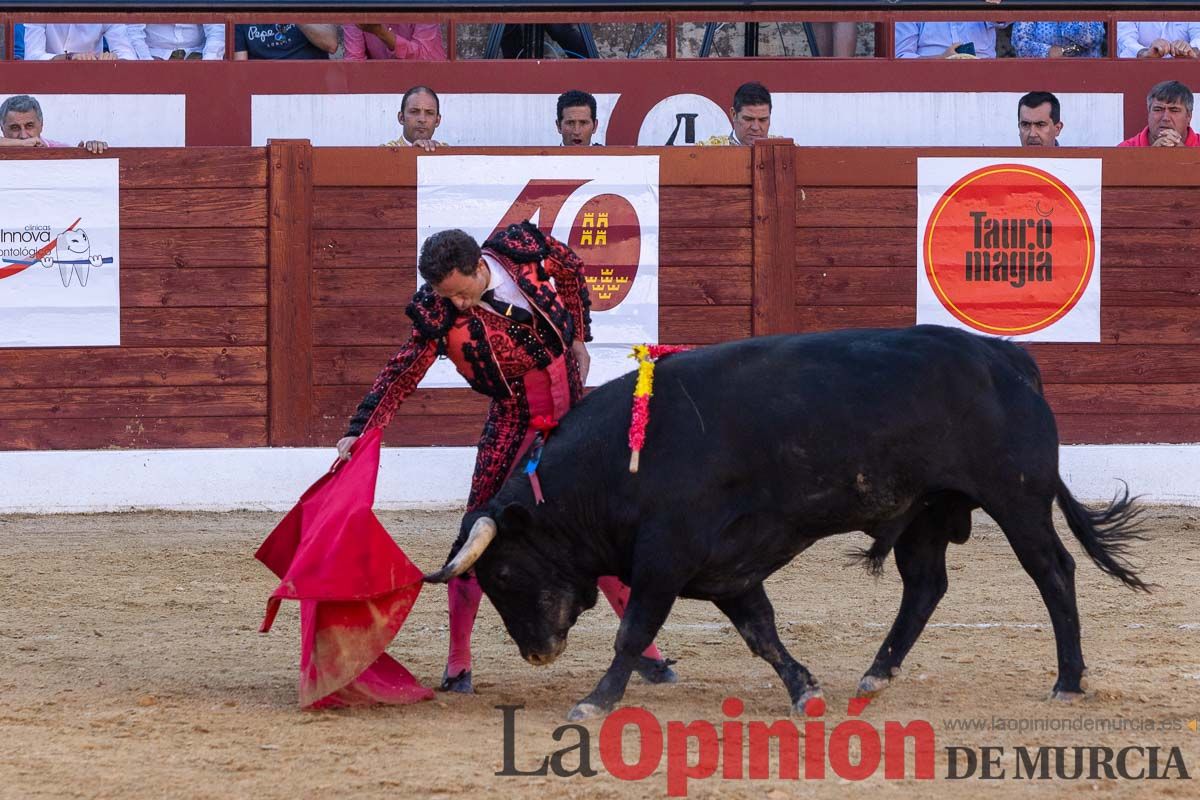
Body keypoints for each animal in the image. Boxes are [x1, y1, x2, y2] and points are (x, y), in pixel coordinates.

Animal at [424, 323, 1142, 719]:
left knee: (1053, 573)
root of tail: (1007, 359)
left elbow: (633, 633)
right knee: (925, 585)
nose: (536, 652)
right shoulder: (726, 569)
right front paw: (806, 691)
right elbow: (762, 633)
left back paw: (1068, 681)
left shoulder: (664, 560)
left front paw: (594, 702)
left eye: (503, 572)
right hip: (927, 511)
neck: (616, 464)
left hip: (1017, 500)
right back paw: (876, 673)